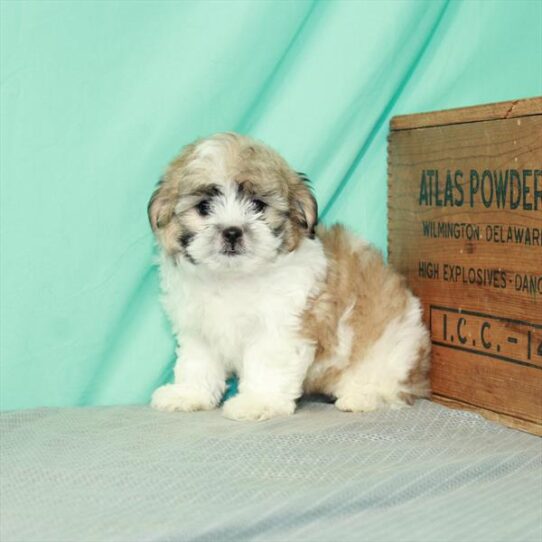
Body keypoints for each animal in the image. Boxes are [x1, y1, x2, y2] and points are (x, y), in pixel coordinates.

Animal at [147, 134, 432, 422]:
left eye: (258, 205)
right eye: (204, 207)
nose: (232, 232)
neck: (234, 276)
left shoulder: (281, 325)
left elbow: (266, 363)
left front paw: (257, 402)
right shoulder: (198, 329)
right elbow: (198, 363)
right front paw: (189, 394)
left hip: (391, 348)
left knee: (387, 384)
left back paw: (360, 397)